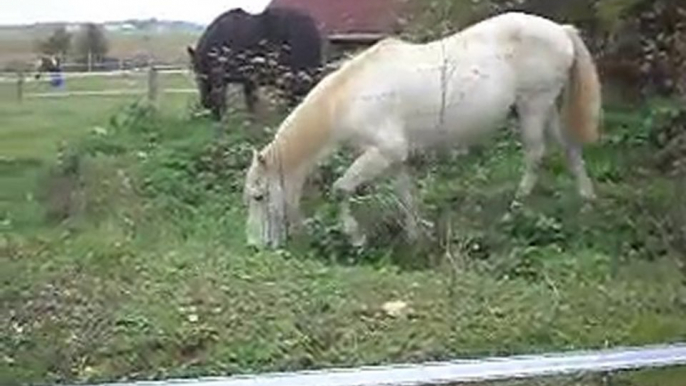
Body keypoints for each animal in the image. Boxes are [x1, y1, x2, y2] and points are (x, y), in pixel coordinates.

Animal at [245, 12, 604, 249]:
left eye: (259, 196)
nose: (255, 245)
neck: (347, 99)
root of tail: (561, 30)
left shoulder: (384, 150)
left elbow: (341, 190)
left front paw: (357, 237)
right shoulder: (393, 157)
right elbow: (406, 195)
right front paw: (416, 237)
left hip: (534, 105)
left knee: (535, 154)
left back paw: (513, 211)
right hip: (547, 107)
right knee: (569, 148)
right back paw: (587, 203)